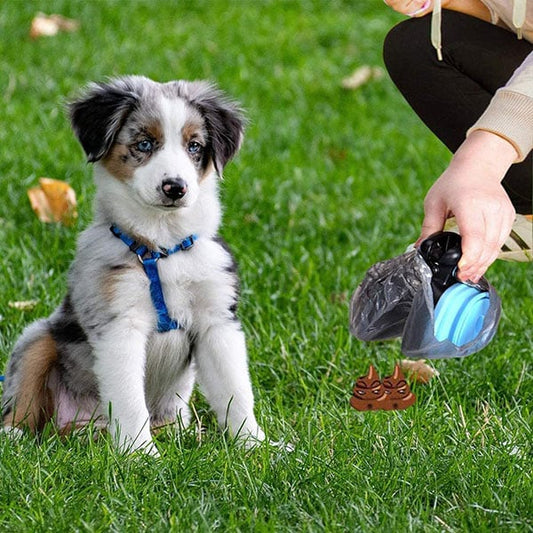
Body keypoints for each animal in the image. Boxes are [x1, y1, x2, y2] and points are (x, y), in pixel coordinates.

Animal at [0, 77, 266, 456]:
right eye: (144, 143)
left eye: (195, 146)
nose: (175, 187)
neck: (163, 247)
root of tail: (78, 426)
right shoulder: (119, 325)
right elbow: (128, 398)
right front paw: (141, 455)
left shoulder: (217, 321)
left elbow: (236, 391)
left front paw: (257, 447)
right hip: (38, 338)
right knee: (22, 399)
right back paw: (15, 437)